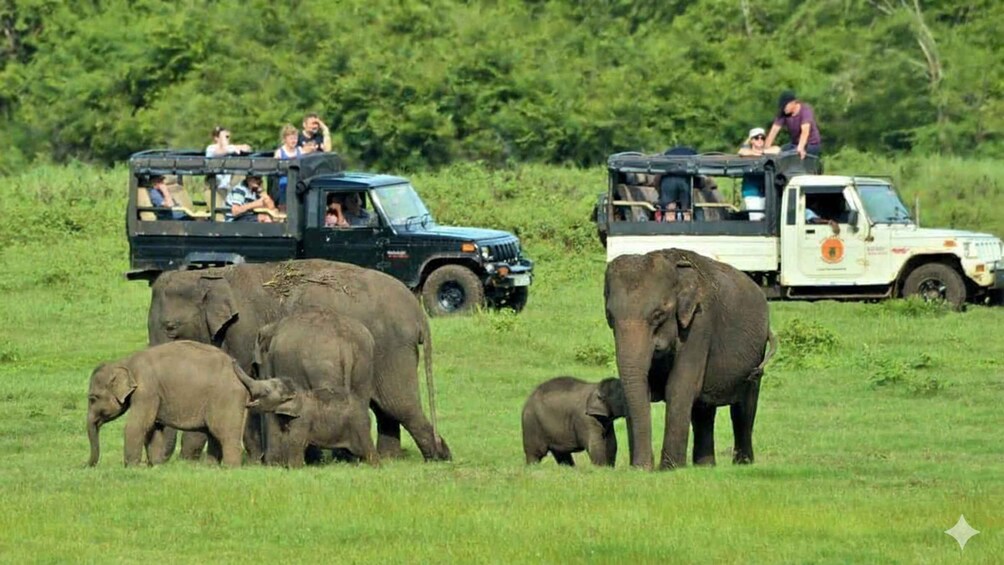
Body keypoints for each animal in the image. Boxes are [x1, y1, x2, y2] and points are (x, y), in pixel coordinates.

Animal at [86, 340, 292, 467]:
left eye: (92, 398)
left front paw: (132, 467)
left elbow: (137, 425)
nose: (88, 465)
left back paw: (229, 468)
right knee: (214, 434)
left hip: (226, 399)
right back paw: (211, 467)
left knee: (225, 434)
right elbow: (154, 429)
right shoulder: (155, 394)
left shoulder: (147, 391)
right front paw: (155, 465)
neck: (125, 362)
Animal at [253, 310, 378, 467]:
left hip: (322, 365)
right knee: (360, 402)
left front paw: (274, 465)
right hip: (364, 365)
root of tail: (345, 342)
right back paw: (349, 460)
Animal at [604, 248, 778, 470]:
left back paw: (743, 463)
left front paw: (670, 468)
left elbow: (679, 386)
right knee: (704, 409)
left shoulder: (700, 323)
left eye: (658, 314)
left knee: (743, 408)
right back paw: (706, 466)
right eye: (610, 316)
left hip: (757, 353)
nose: (643, 466)